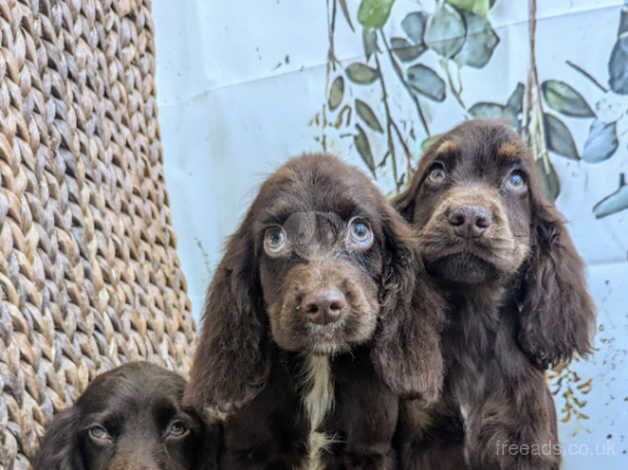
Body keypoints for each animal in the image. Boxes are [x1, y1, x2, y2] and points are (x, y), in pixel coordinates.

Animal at [184, 152, 444, 468]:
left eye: (360, 230)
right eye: (275, 238)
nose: (323, 307)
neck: (320, 362)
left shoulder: (372, 449)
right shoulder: (246, 450)